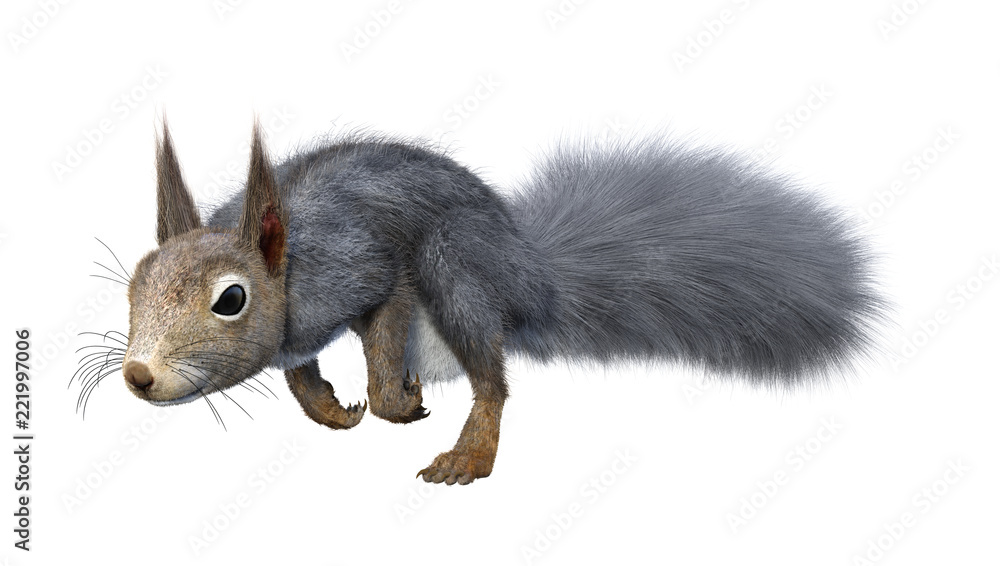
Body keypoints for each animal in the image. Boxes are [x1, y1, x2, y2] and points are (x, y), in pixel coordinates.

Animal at [117, 119, 884, 485]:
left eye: (231, 299)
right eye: (133, 284)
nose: (138, 375)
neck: (291, 264)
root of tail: (529, 277)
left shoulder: (368, 270)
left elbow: (383, 335)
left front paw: (389, 402)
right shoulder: (299, 335)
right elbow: (300, 371)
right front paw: (332, 408)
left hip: (457, 267)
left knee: (491, 379)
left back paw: (469, 452)